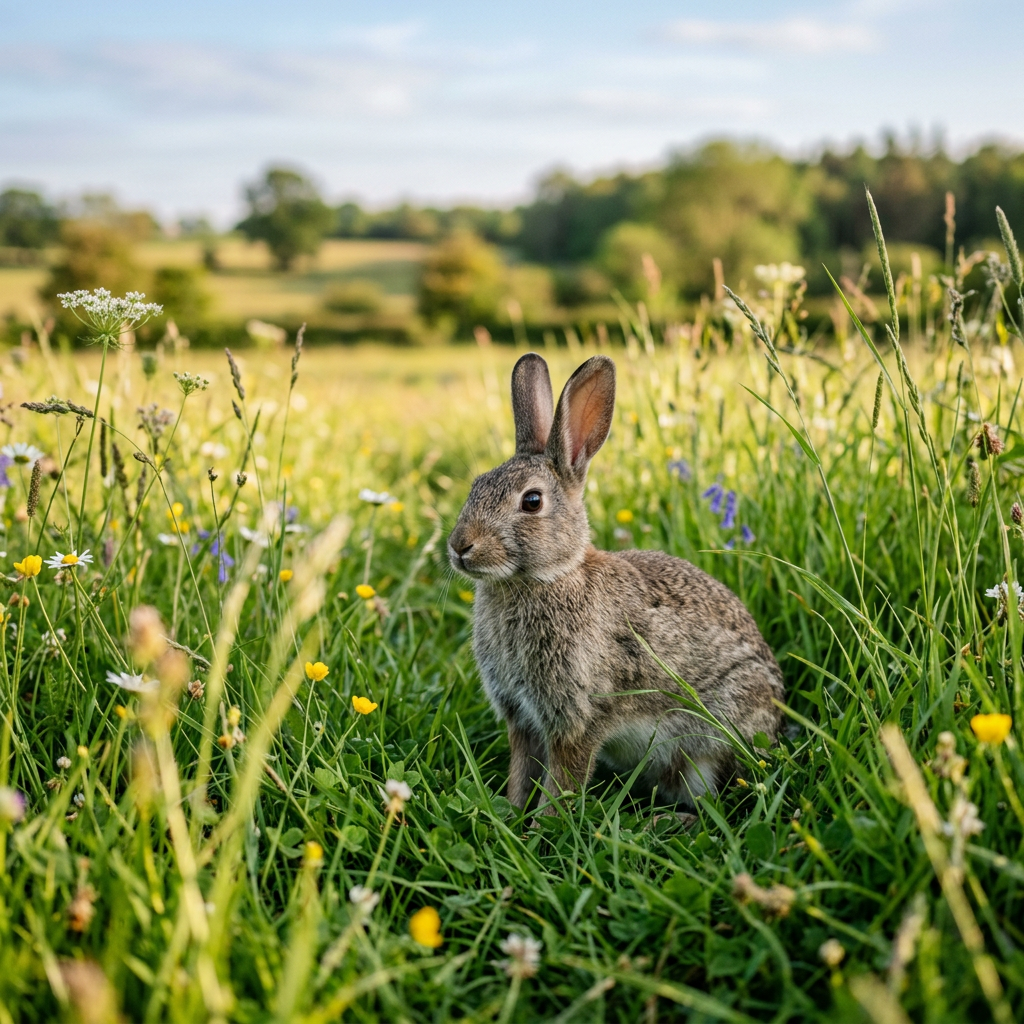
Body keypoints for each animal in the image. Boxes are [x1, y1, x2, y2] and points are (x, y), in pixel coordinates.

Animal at [447, 352, 784, 811]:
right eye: (475, 486)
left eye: (531, 501)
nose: (459, 546)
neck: (546, 578)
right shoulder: (522, 717)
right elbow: (521, 773)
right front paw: (512, 812)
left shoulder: (578, 718)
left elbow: (562, 783)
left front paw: (543, 822)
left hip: (708, 741)